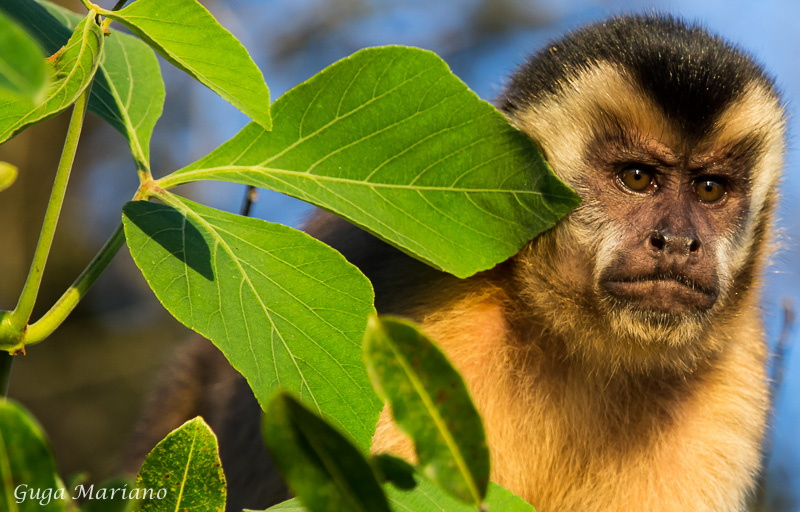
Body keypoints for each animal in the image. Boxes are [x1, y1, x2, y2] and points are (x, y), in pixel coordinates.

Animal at [125, 14, 788, 510]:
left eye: (710, 189)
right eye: (637, 178)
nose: (677, 241)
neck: (572, 338)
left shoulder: (732, 378)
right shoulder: (420, 319)